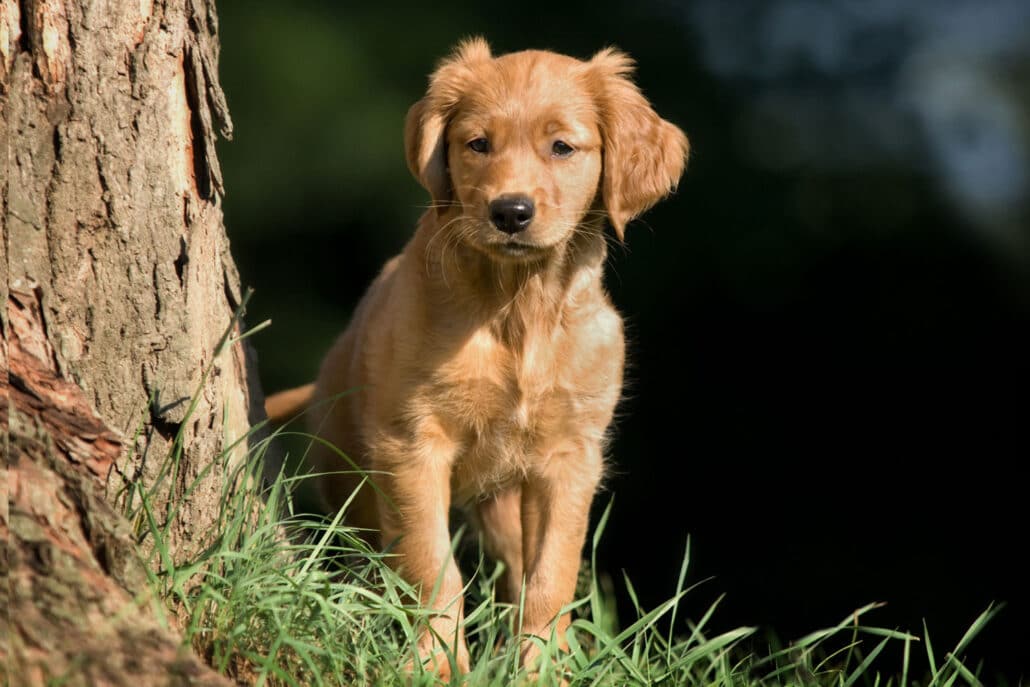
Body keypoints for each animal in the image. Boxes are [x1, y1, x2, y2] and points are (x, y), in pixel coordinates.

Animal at [261, 37, 688, 675]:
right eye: (477, 144)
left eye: (562, 147)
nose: (510, 212)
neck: (516, 307)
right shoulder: (411, 446)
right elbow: (433, 568)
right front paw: (436, 667)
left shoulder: (571, 457)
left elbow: (551, 575)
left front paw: (542, 670)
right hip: (352, 479)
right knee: (370, 560)